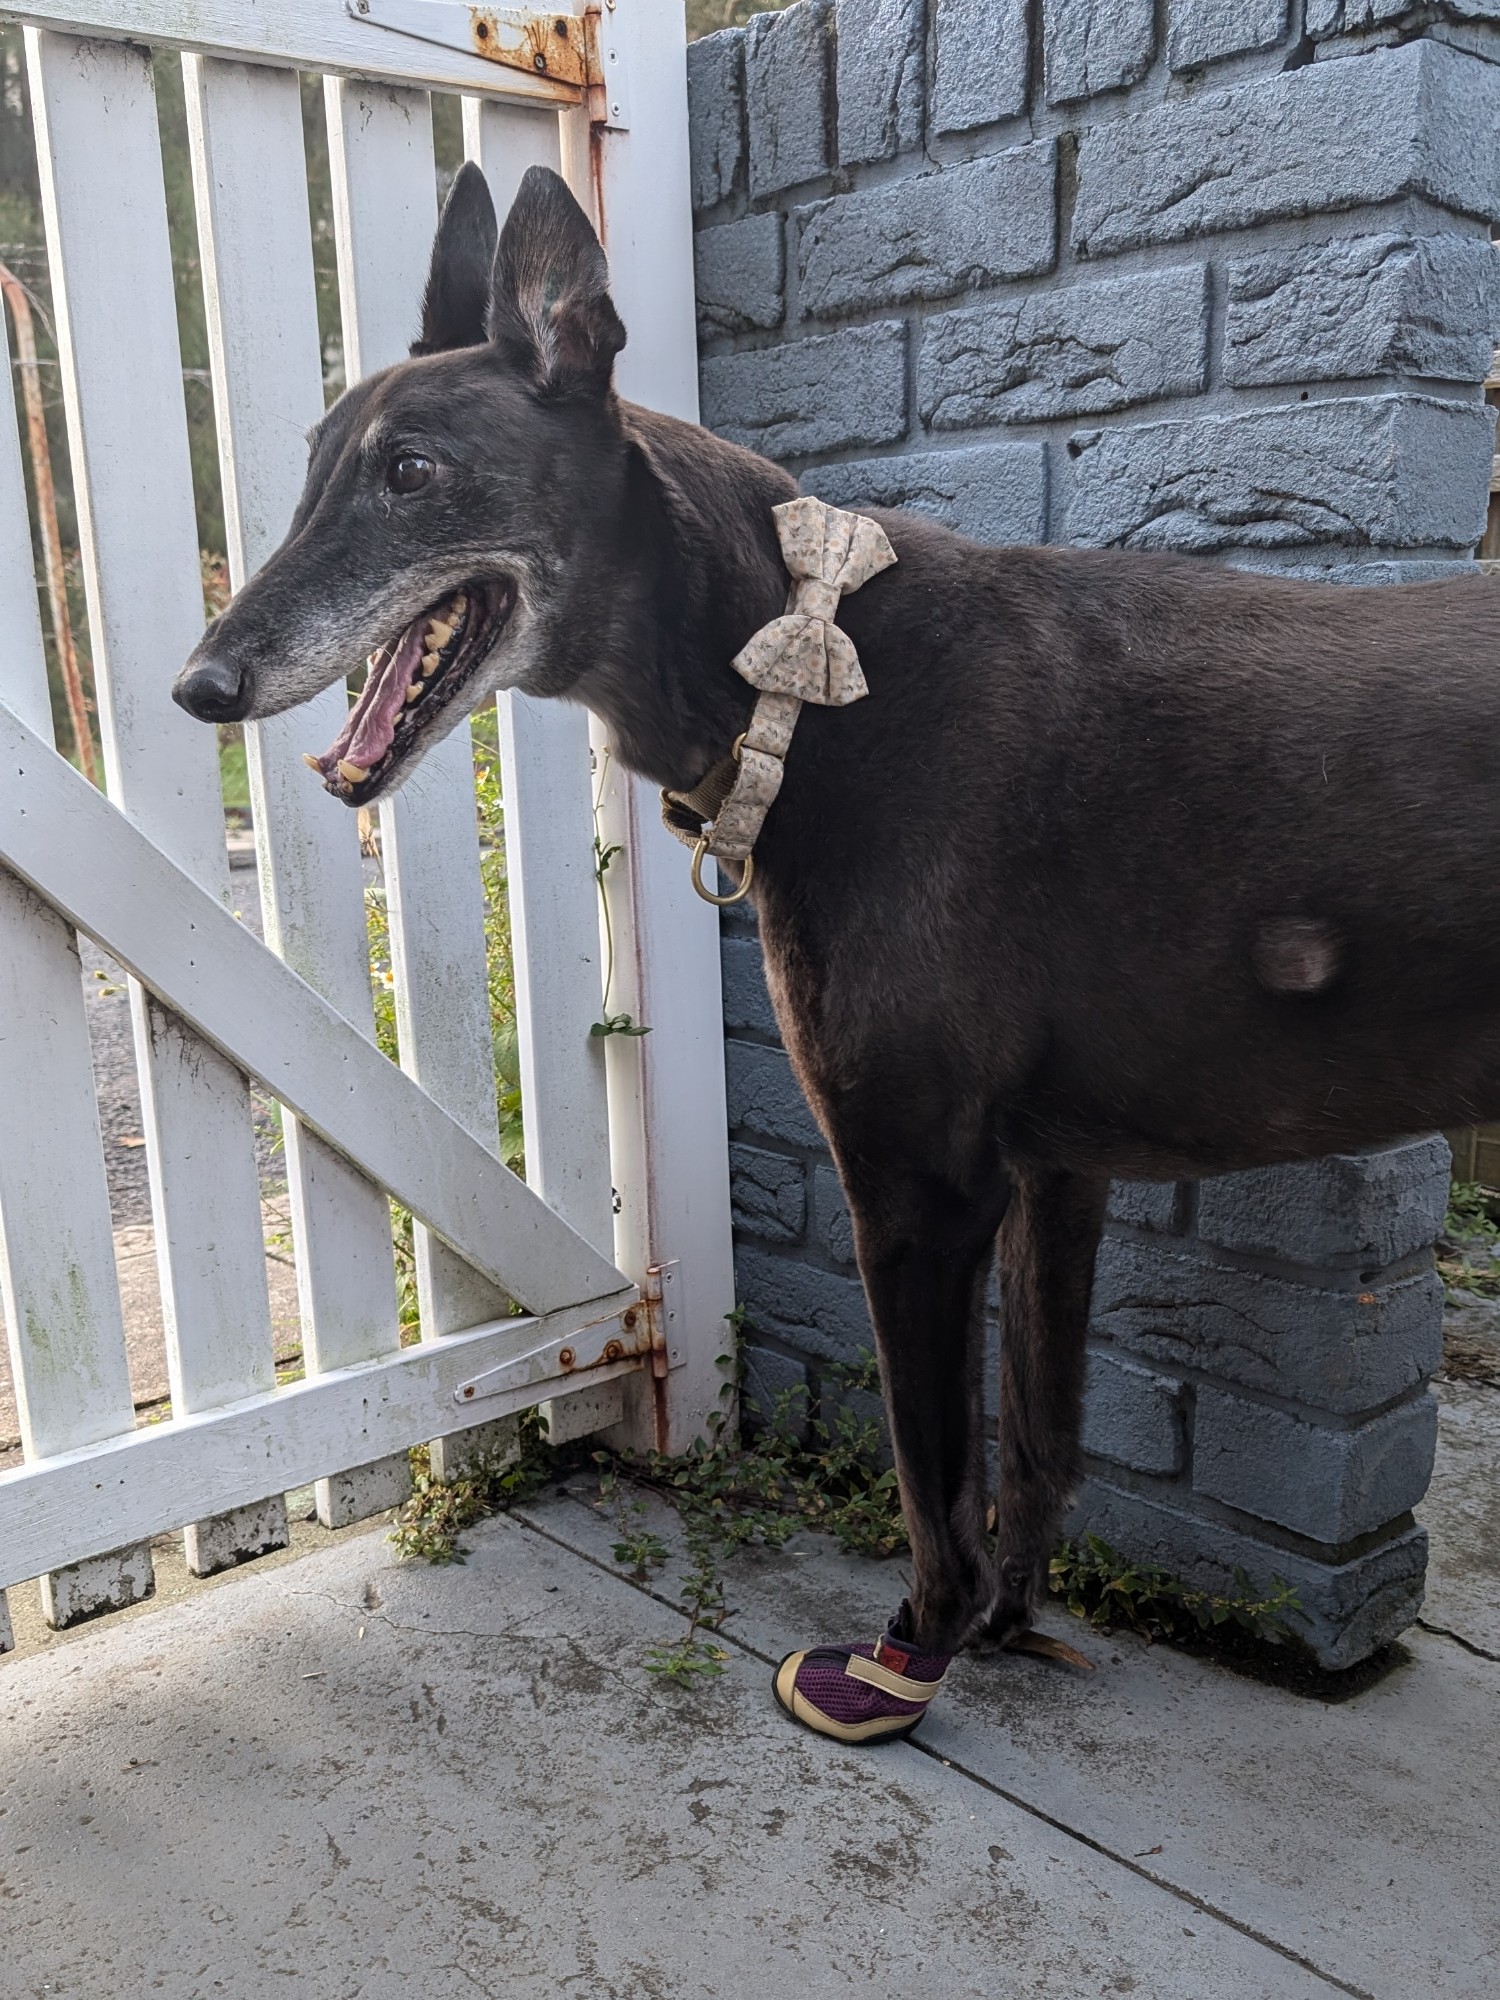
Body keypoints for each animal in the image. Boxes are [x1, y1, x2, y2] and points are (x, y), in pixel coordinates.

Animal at [175, 161, 1500, 1741]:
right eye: (315, 462)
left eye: (414, 472)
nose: (200, 684)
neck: (807, 682)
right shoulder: (1057, 1173)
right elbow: (1036, 1442)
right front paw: (1009, 1626)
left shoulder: (917, 1181)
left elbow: (936, 1478)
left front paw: (902, 1659)